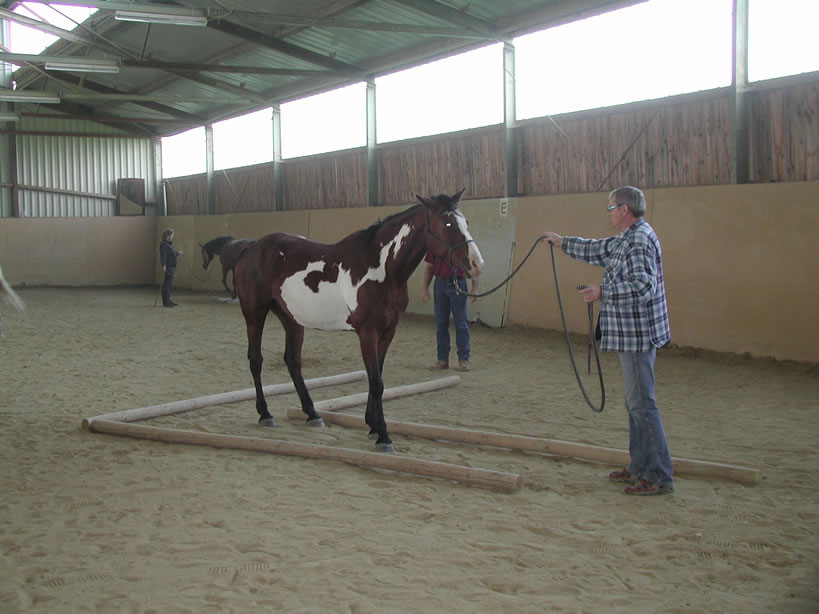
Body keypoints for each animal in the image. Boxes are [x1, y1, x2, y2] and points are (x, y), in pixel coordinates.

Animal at [233, 189, 484, 452]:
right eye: (448, 224)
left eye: (466, 222)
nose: (476, 265)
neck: (382, 268)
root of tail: (251, 248)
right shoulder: (367, 333)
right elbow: (376, 382)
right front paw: (383, 435)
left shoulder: (388, 332)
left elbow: (377, 379)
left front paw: (372, 426)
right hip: (254, 314)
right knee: (256, 360)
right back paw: (265, 414)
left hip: (291, 318)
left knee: (293, 361)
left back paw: (313, 414)